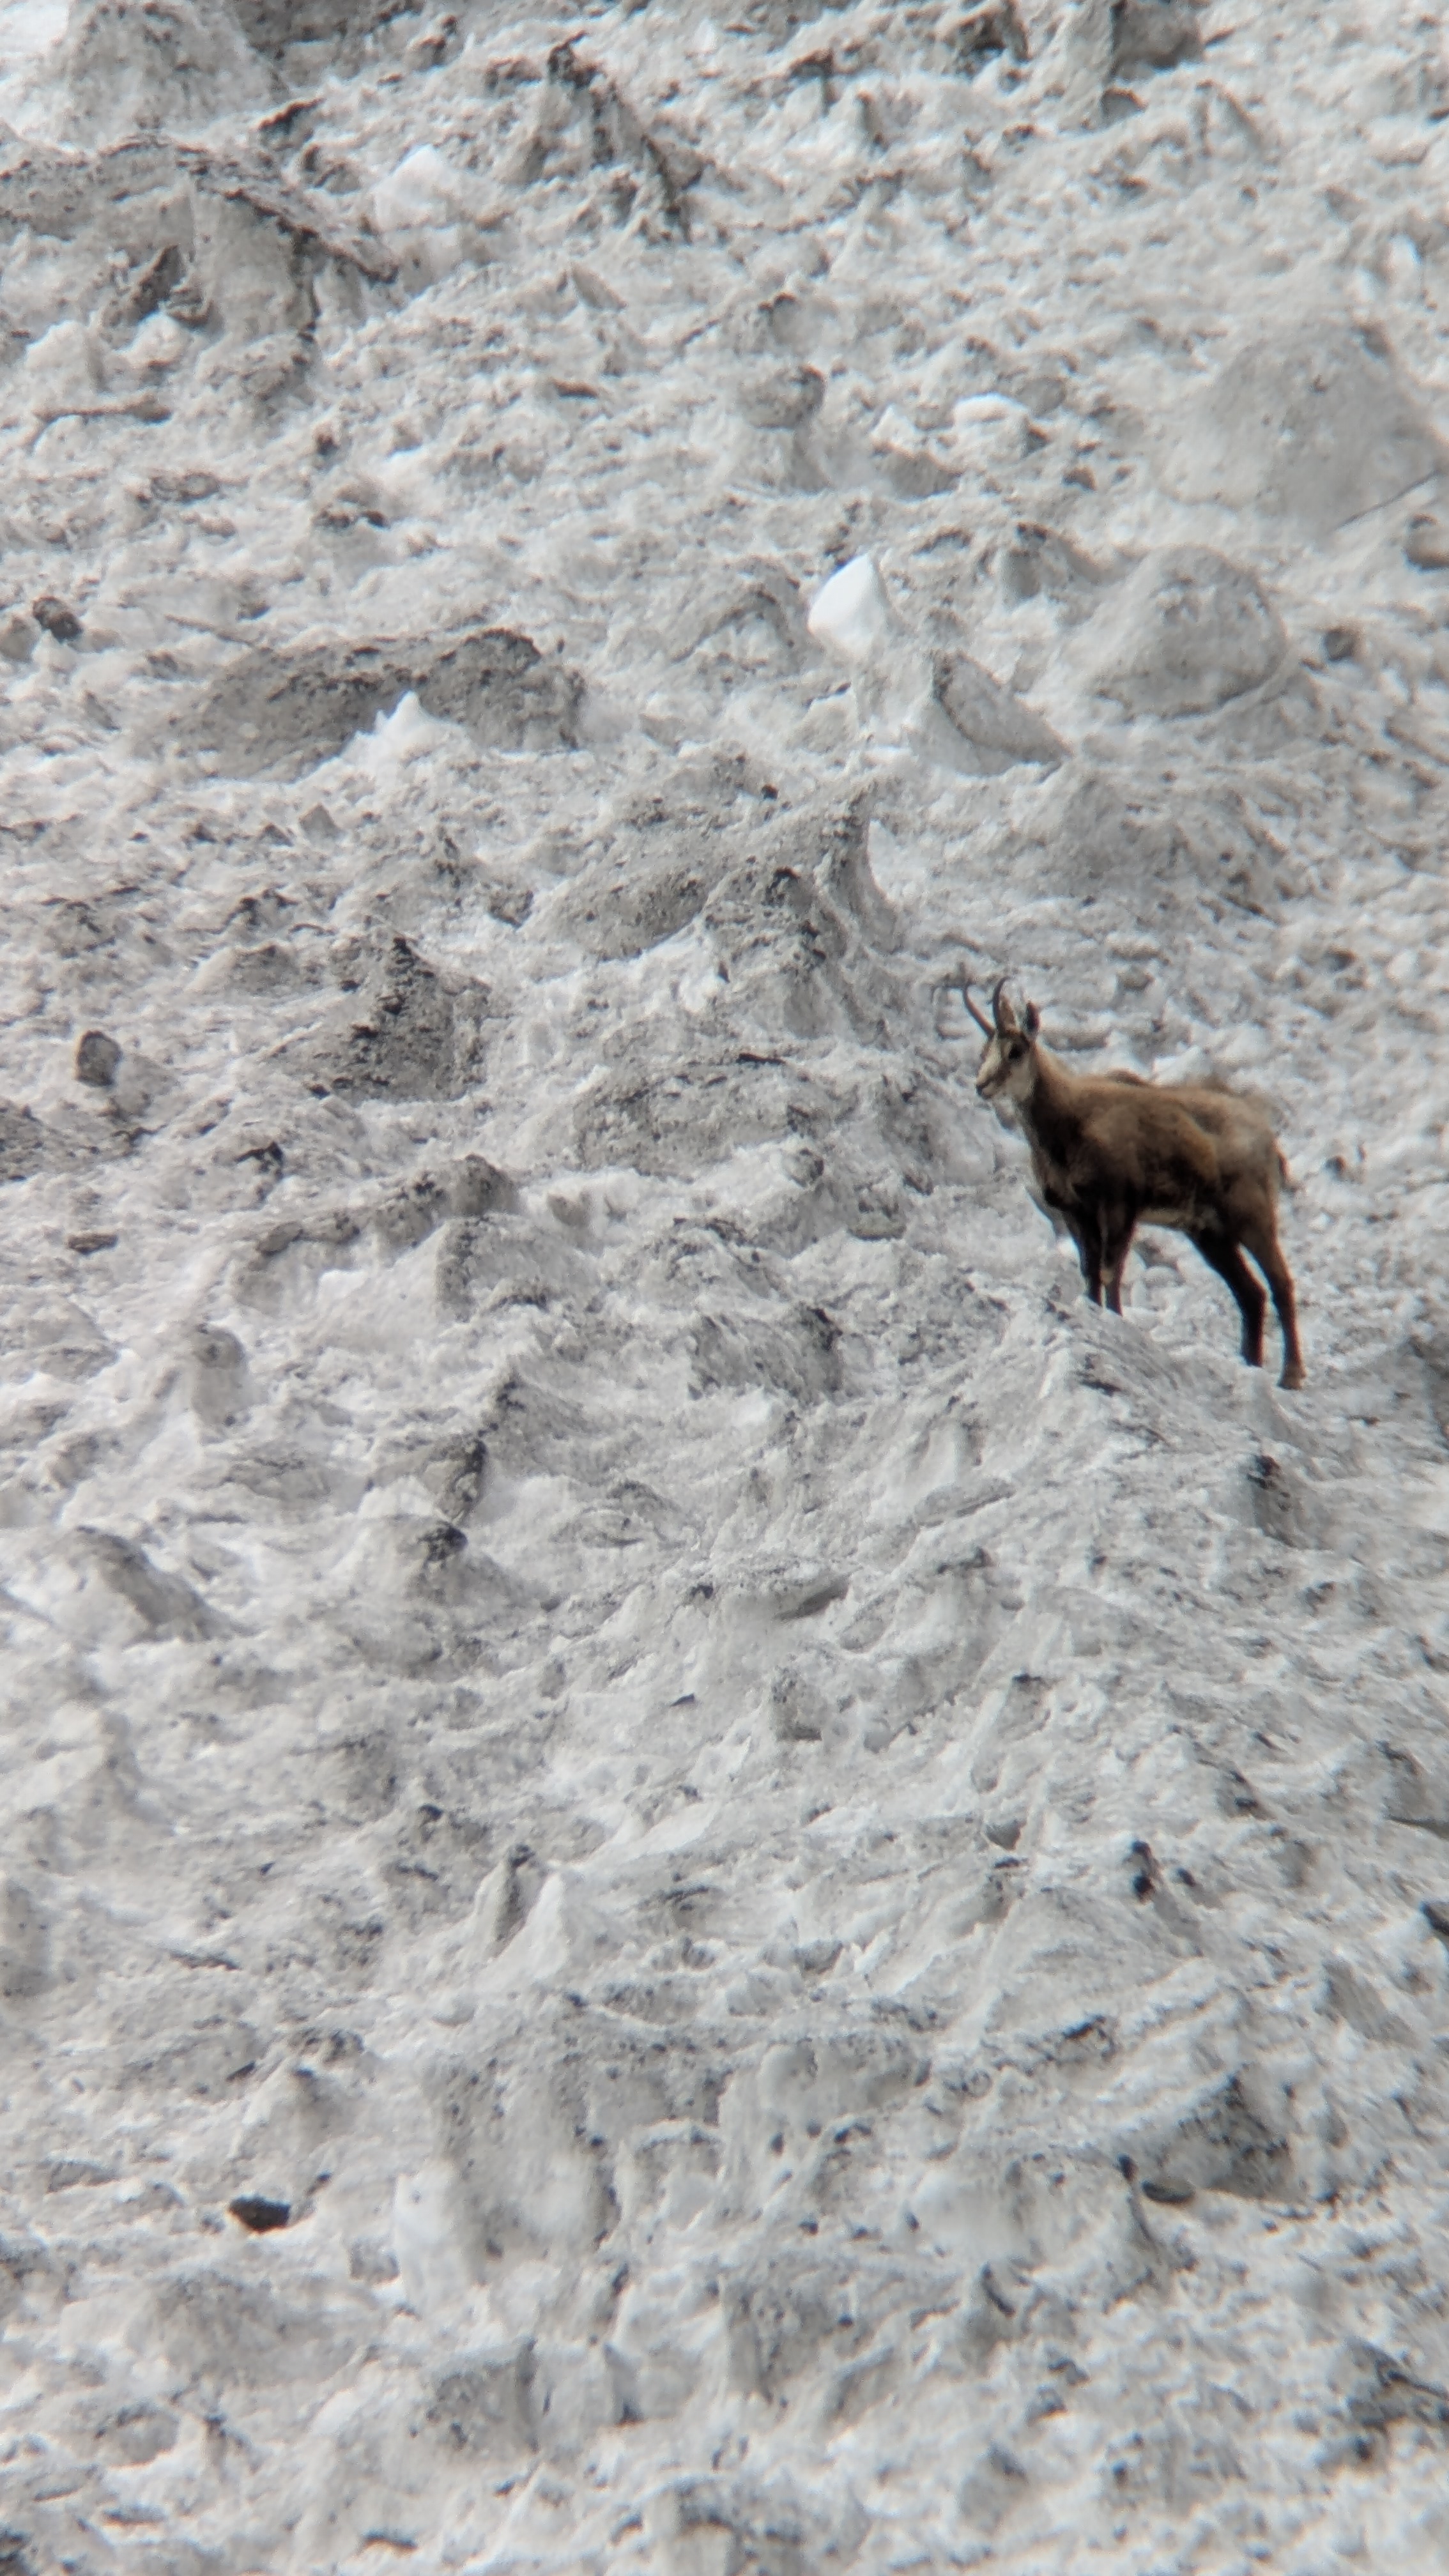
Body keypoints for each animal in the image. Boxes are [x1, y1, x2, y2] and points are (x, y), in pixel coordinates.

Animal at [961, 972, 1305, 1389]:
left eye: (1015, 1051)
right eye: (985, 1050)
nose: (981, 1085)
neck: (1068, 1120)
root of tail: (1269, 1141)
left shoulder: (1120, 1205)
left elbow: (1111, 1270)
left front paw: (1116, 1322)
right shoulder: (1076, 1211)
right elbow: (1090, 1272)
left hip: (1252, 1216)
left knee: (1281, 1283)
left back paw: (1290, 1376)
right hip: (1210, 1233)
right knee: (1251, 1294)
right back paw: (1249, 1365)